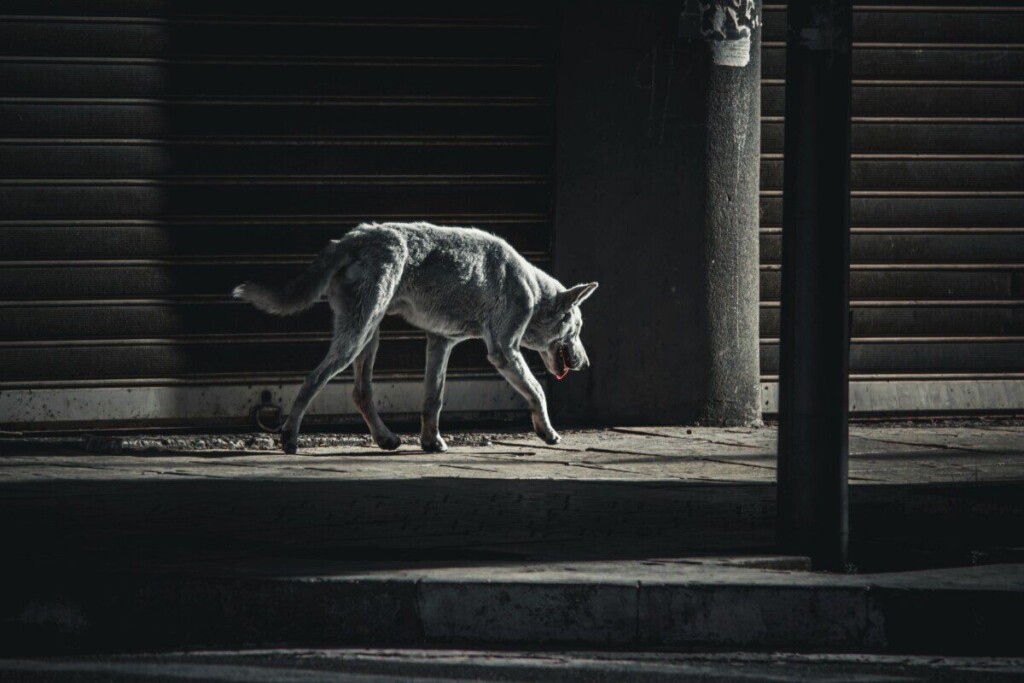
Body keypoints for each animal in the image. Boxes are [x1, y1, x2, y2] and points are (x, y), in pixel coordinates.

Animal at [233, 222, 598, 454]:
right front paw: (548, 432)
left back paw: (386, 439)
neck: (532, 291)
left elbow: (432, 400)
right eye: (578, 330)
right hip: (358, 336)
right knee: (313, 380)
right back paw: (290, 438)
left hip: (369, 337)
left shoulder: (440, 342)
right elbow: (538, 391)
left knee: (360, 392)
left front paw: (430, 442)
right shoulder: (504, 352)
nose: (586, 363)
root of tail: (352, 237)